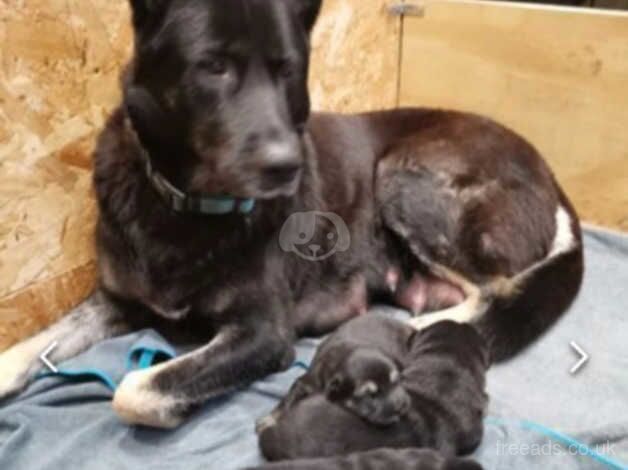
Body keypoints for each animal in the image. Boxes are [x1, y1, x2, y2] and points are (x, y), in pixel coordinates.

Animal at [0, 0, 584, 430]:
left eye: (288, 71)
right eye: (213, 66)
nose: (287, 166)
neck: (186, 203)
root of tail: (553, 179)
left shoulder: (262, 333)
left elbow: (136, 390)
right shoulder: (114, 299)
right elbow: (30, 345)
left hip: (405, 176)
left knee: (497, 293)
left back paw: (416, 327)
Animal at [256, 316, 490, 466]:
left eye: (398, 381)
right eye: (370, 395)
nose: (402, 406)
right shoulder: (309, 380)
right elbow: (289, 396)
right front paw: (268, 419)